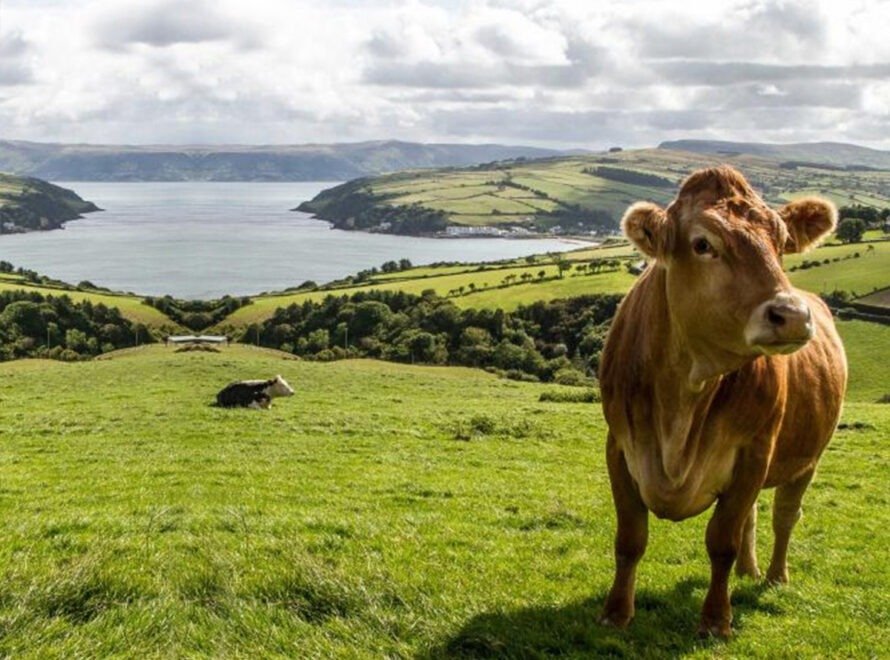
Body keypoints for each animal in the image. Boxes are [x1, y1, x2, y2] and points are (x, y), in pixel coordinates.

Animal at [600, 166, 844, 640]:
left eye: (781, 242)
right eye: (702, 244)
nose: (792, 315)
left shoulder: (753, 452)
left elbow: (722, 542)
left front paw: (716, 619)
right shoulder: (619, 447)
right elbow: (630, 538)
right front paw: (616, 613)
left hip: (808, 458)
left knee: (784, 515)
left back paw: (774, 576)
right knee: (754, 516)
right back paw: (750, 571)